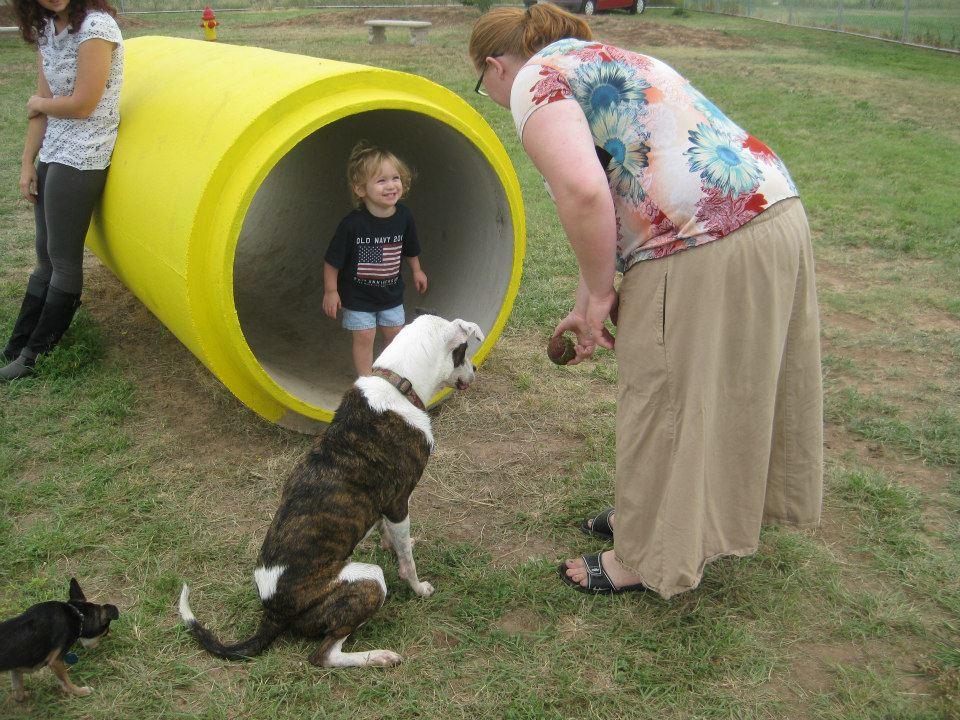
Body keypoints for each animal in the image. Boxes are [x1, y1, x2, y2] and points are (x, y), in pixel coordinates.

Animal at [177, 316, 484, 668]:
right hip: (369, 580)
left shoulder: (383, 508)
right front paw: (418, 586)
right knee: (323, 655)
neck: (397, 384)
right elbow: (408, 561)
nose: (476, 368)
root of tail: (272, 613)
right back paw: (379, 657)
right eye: (463, 351)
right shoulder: (397, 502)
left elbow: (393, 537)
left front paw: (392, 544)